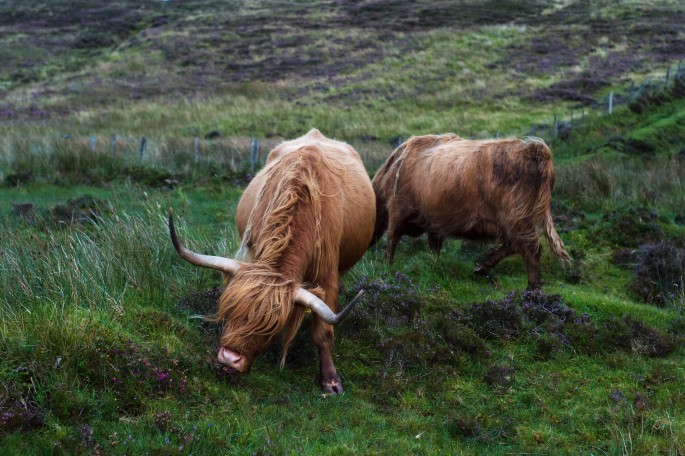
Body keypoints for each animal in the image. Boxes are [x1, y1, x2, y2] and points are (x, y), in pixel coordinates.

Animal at [170, 129, 374, 396]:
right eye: (230, 309)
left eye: (270, 326)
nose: (229, 360)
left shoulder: (328, 275)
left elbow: (323, 332)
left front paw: (331, 381)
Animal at [372, 134, 568, 288]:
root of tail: (532, 148)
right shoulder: (435, 221)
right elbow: (434, 247)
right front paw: (435, 266)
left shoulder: (398, 209)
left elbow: (391, 241)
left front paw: (386, 268)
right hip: (514, 221)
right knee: (519, 244)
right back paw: (484, 267)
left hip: (515, 217)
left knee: (530, 248)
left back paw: (532, 290)